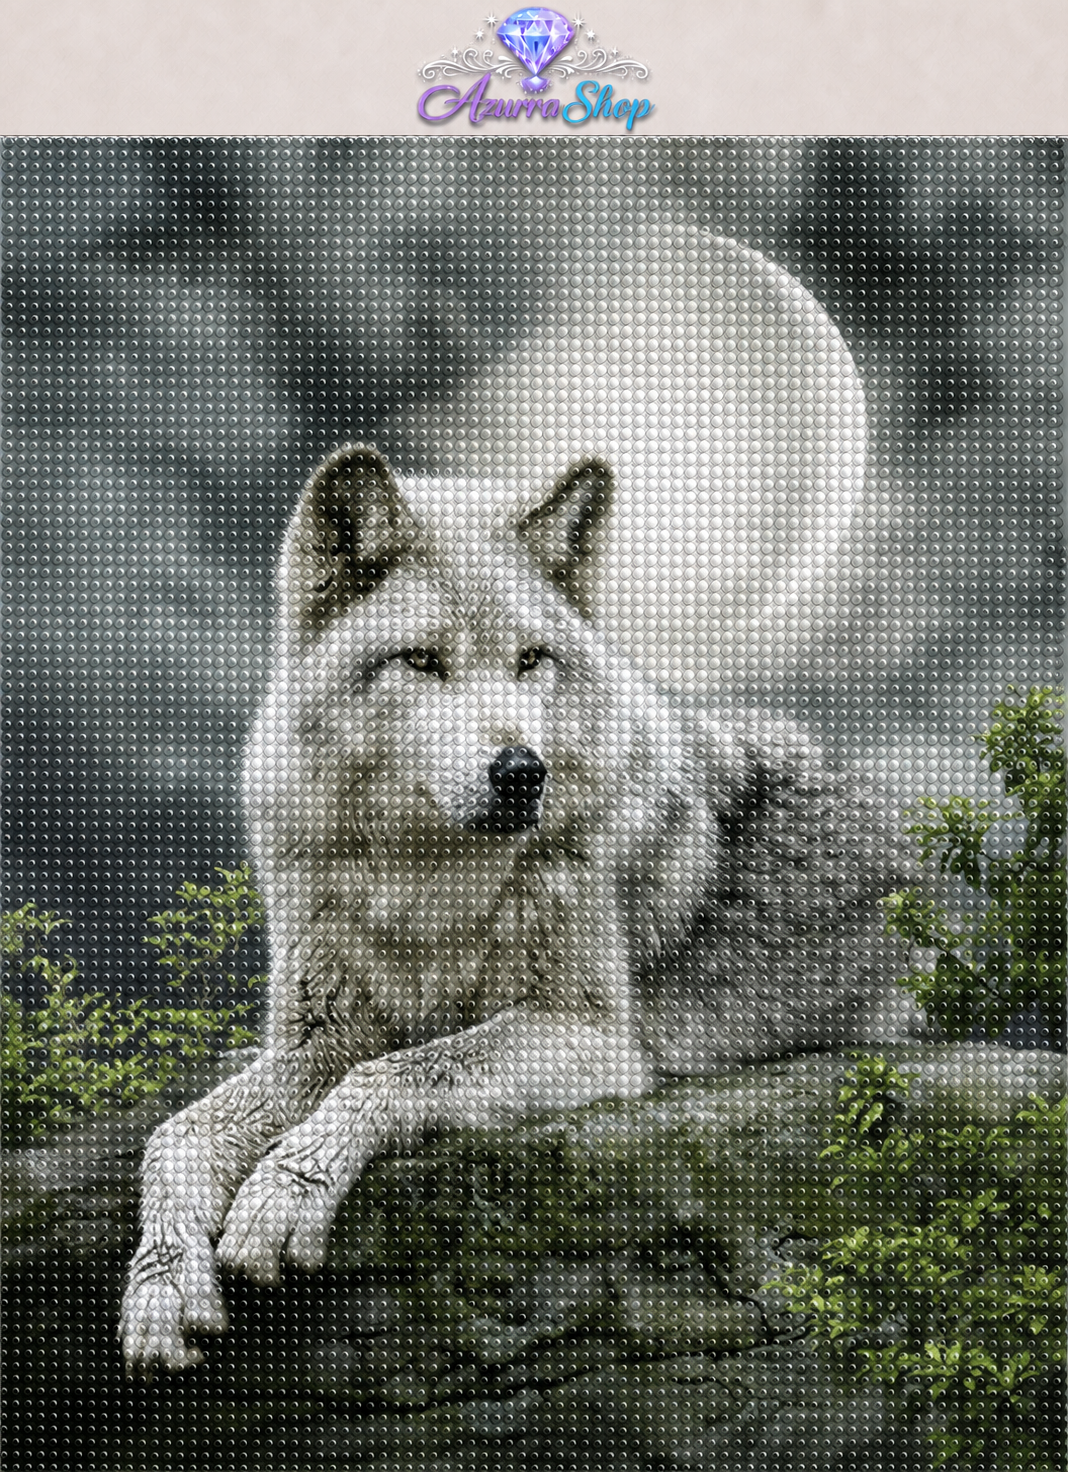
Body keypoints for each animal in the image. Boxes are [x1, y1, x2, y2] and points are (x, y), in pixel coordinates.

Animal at [121, 441, 921, 1371]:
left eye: (532, 660)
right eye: (423, 661)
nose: (521, 771)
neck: (426, 884)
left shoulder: (593, 1035)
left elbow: (391, 1073)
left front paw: (284, 1194)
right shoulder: (320, 1038)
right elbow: (177, 1135)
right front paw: (162, 1283)